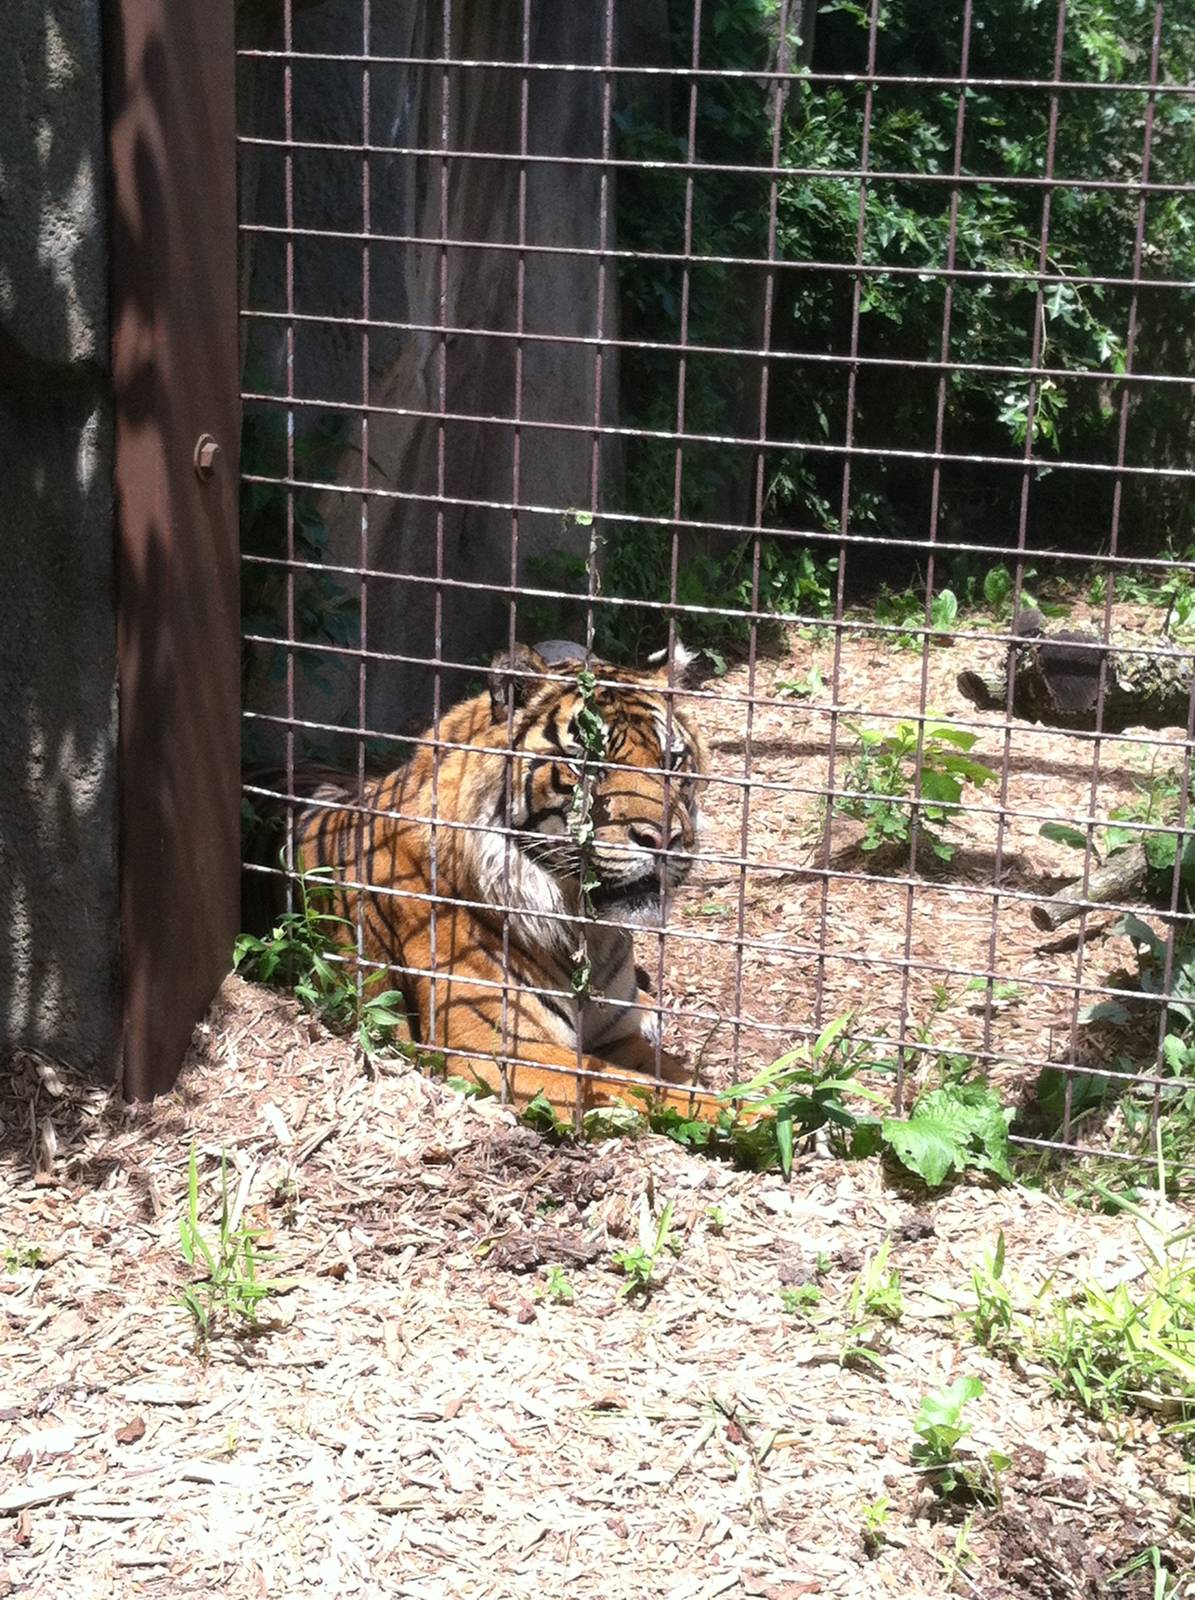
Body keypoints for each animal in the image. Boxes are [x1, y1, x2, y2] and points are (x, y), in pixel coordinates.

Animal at [248, 643, 722, 1122]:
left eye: (672, 761)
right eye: (589, 764)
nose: (665, 839)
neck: (584, 928)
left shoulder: (616, 1035)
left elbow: (676, 1078)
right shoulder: (501, 1049)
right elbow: (650, 1090)